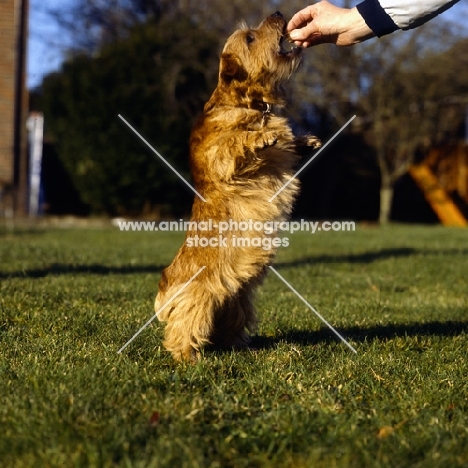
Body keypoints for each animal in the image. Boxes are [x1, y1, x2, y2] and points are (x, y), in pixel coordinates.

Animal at [155, 11, 320, 362]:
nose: (278, 13)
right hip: (201, 297)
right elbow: (237, 143)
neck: (251, 103)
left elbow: (287, 142)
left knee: (230, 326)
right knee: (183, 326)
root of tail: (166, 281)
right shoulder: (220, 156)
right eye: (250, 38)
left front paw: (306, 140)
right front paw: (262, 136)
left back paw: (241, 346)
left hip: (238, 300)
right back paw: (187, 356)